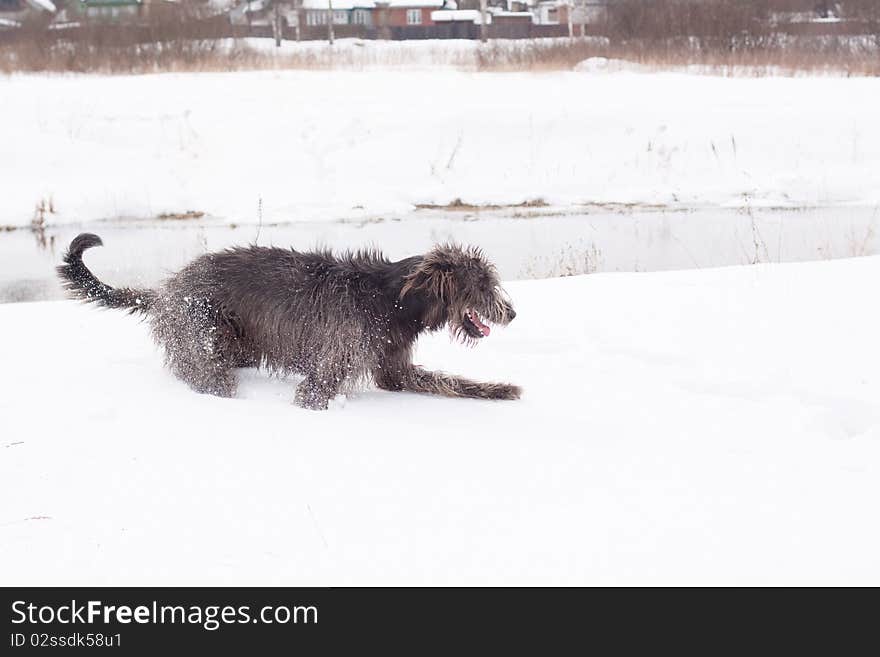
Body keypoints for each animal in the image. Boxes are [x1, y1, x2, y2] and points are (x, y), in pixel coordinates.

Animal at [60, 234, 524, 410]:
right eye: (482, 282)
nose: (513, 313)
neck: (391, 299)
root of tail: (168, 288)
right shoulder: (331, 364)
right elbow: (313, 395)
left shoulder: (394, 367)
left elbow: (448, 381)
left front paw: (500, 389)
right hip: (200, 332)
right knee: (207, 375)